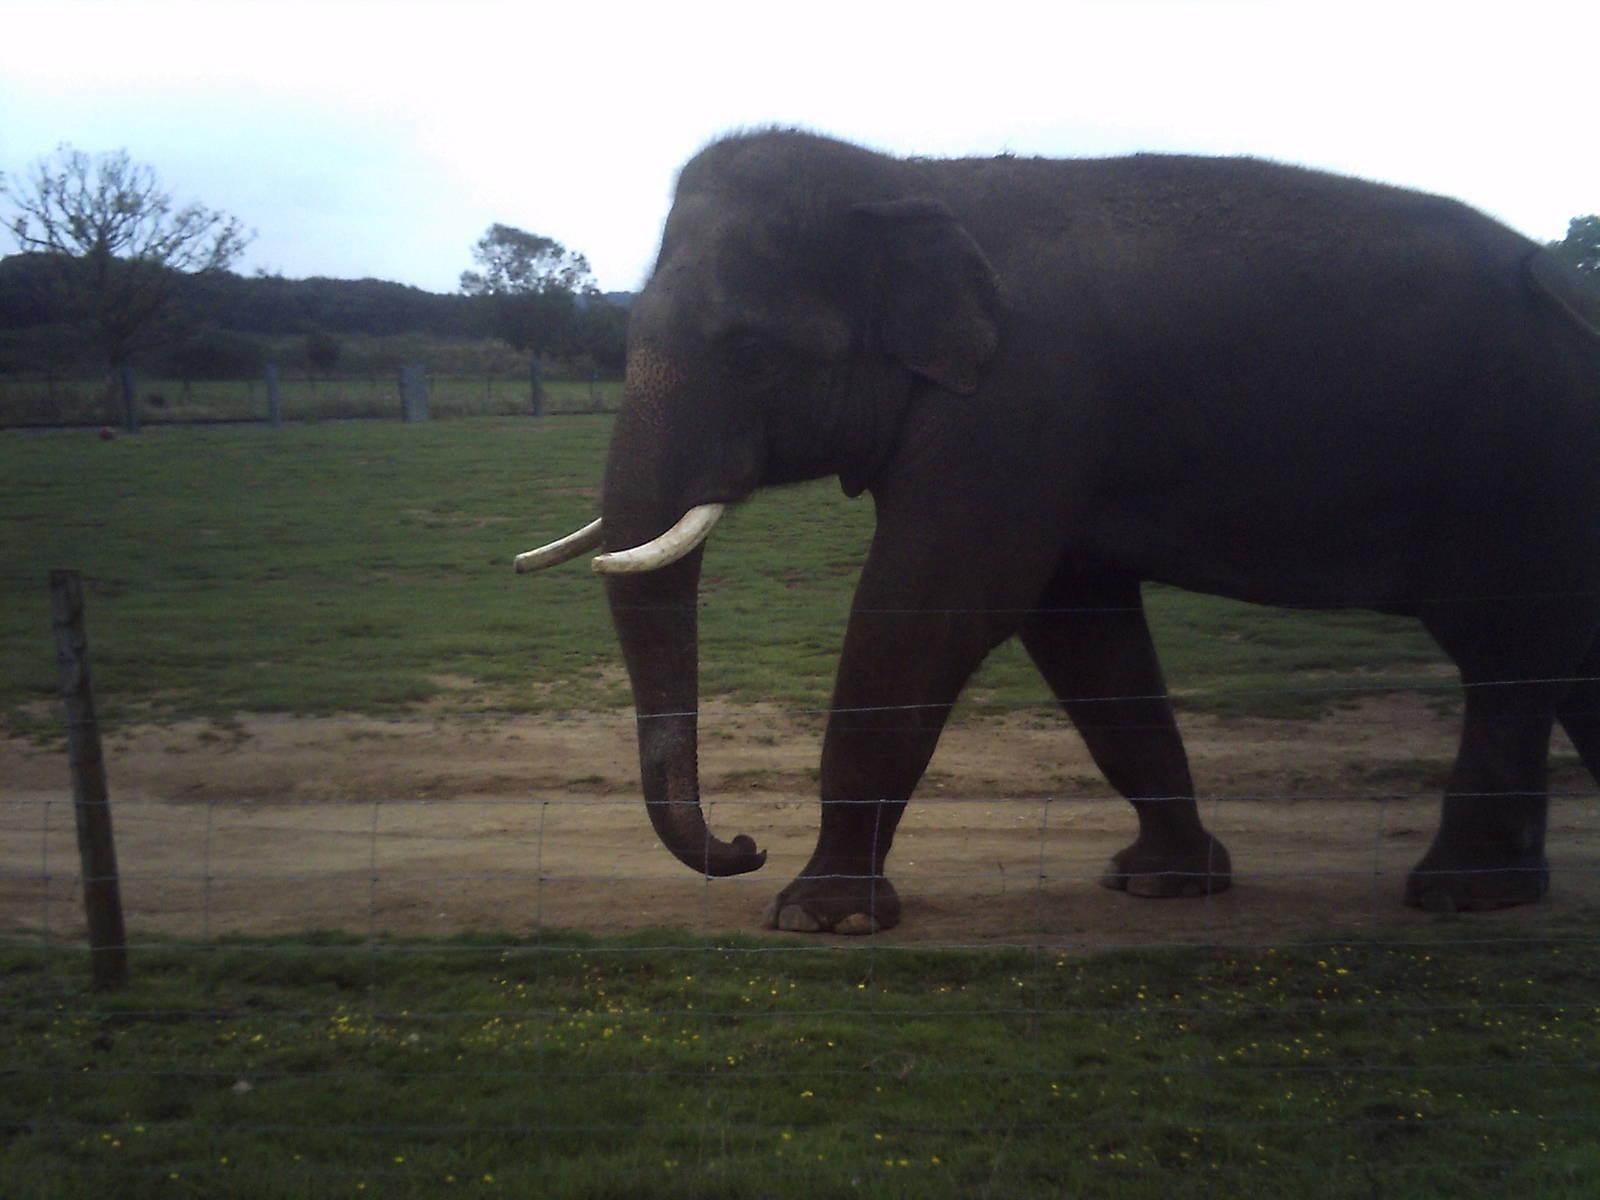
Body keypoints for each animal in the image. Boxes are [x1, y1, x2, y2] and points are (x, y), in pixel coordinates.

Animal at [517, 129, 1600, 935]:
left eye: (748, 350)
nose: (743, 846)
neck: (912, 179)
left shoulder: (1020, 402)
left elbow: (933, 606)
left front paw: (816, 917)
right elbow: (1078, 627)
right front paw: (1162, 885)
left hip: (1521, 454)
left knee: (1501, 646)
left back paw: (1460, 895)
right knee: (1551, 656)